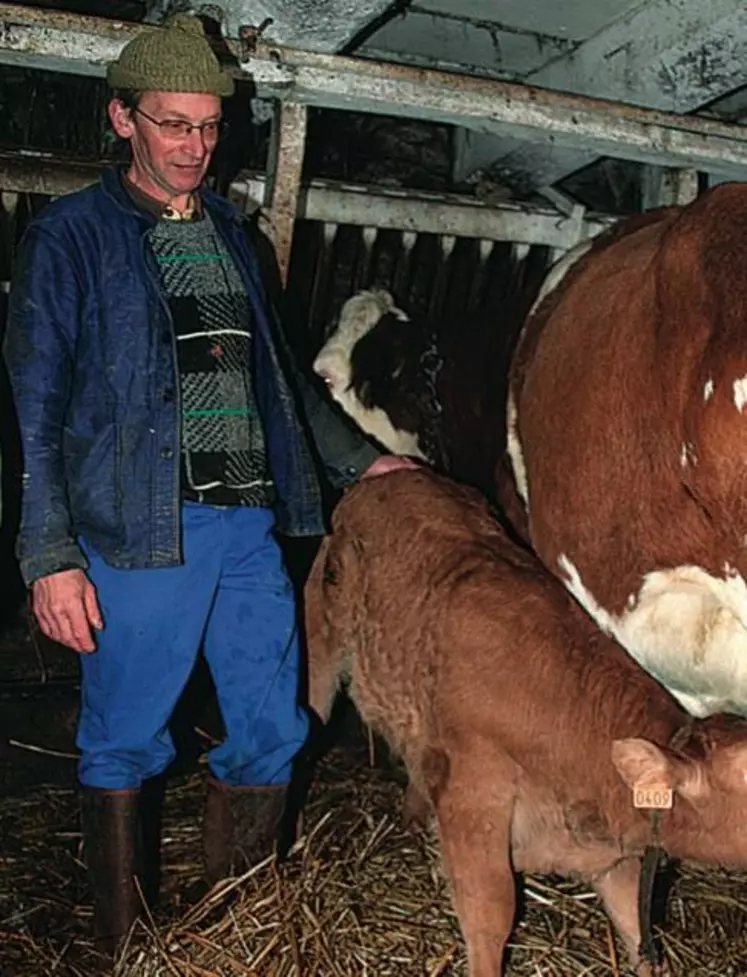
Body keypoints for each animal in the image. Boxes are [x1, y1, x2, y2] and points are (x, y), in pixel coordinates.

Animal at [306, 468, 747, 972]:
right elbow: (492, 912)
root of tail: (390, 478)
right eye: (746, 771)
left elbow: (636, 928)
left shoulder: (610, 855)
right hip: (320, 628)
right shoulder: (473, 794)